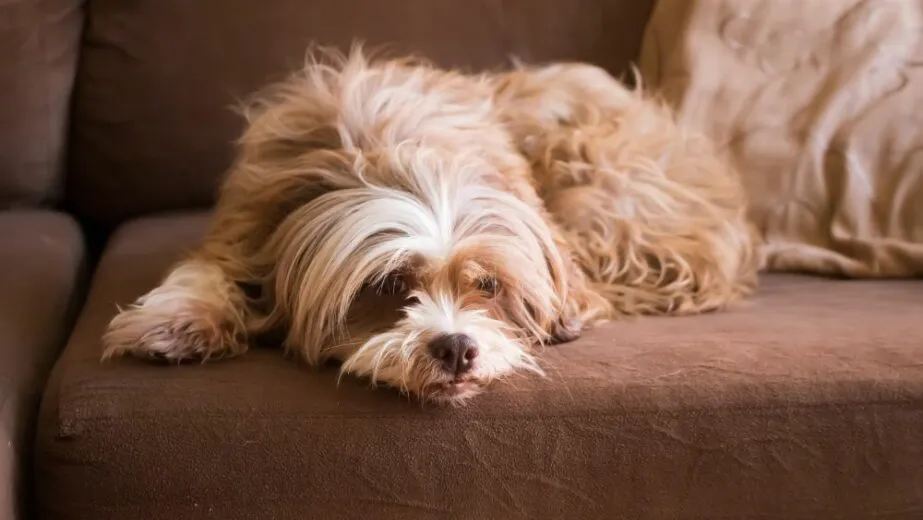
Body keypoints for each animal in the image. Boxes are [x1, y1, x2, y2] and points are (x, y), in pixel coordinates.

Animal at [103, 47, 764, 406]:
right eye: (389, 287)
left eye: (488, 287)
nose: (455, 346)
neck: (382, 147)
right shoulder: (246, 221)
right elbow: (207, 269)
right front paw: (176, 323)